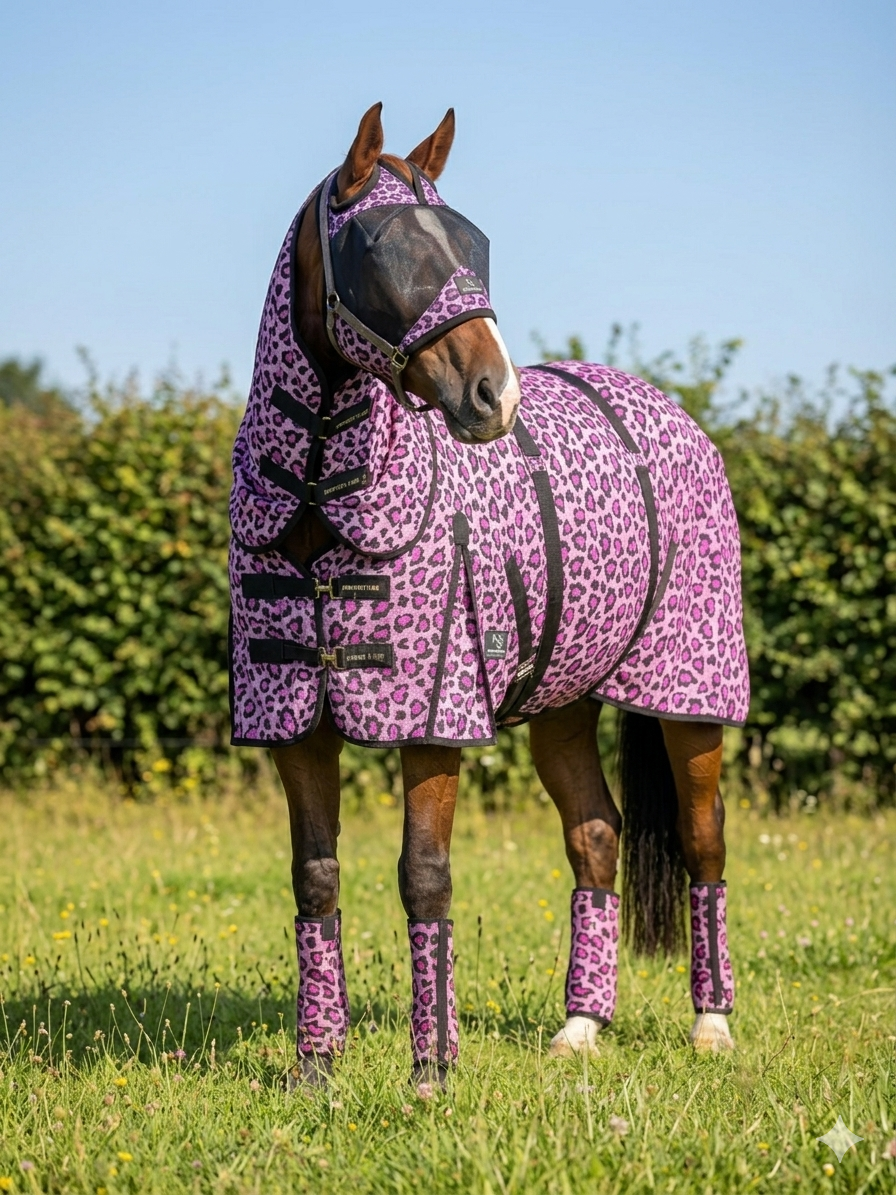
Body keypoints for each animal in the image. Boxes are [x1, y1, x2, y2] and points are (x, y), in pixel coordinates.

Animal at [228, 103, 748, 1087]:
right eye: (386, 249)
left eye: (471, 242)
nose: (493, 394)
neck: (320, 503)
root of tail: (667, 409)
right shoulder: (295, 723)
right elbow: (315, 876)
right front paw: (317, 1064)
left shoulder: (433, 719)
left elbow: (424, 875)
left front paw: (431, 1072)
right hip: (563, 704)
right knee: (596, 836)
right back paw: (581, 1025)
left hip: (691, 699)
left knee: (705, 839)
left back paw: (712, 1025)